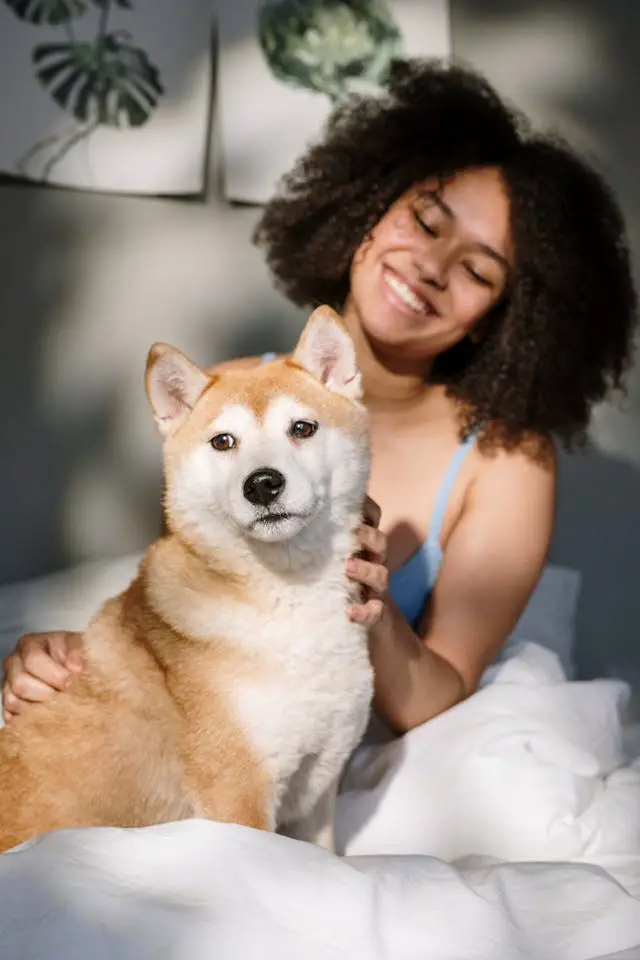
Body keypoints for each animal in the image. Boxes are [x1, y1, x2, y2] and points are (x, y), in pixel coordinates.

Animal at [0, 304, 372, 852]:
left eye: (302, 428)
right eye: (223, 441)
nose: (263, 484)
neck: (287, 601)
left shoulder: (317, 790)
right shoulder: (239, 796)